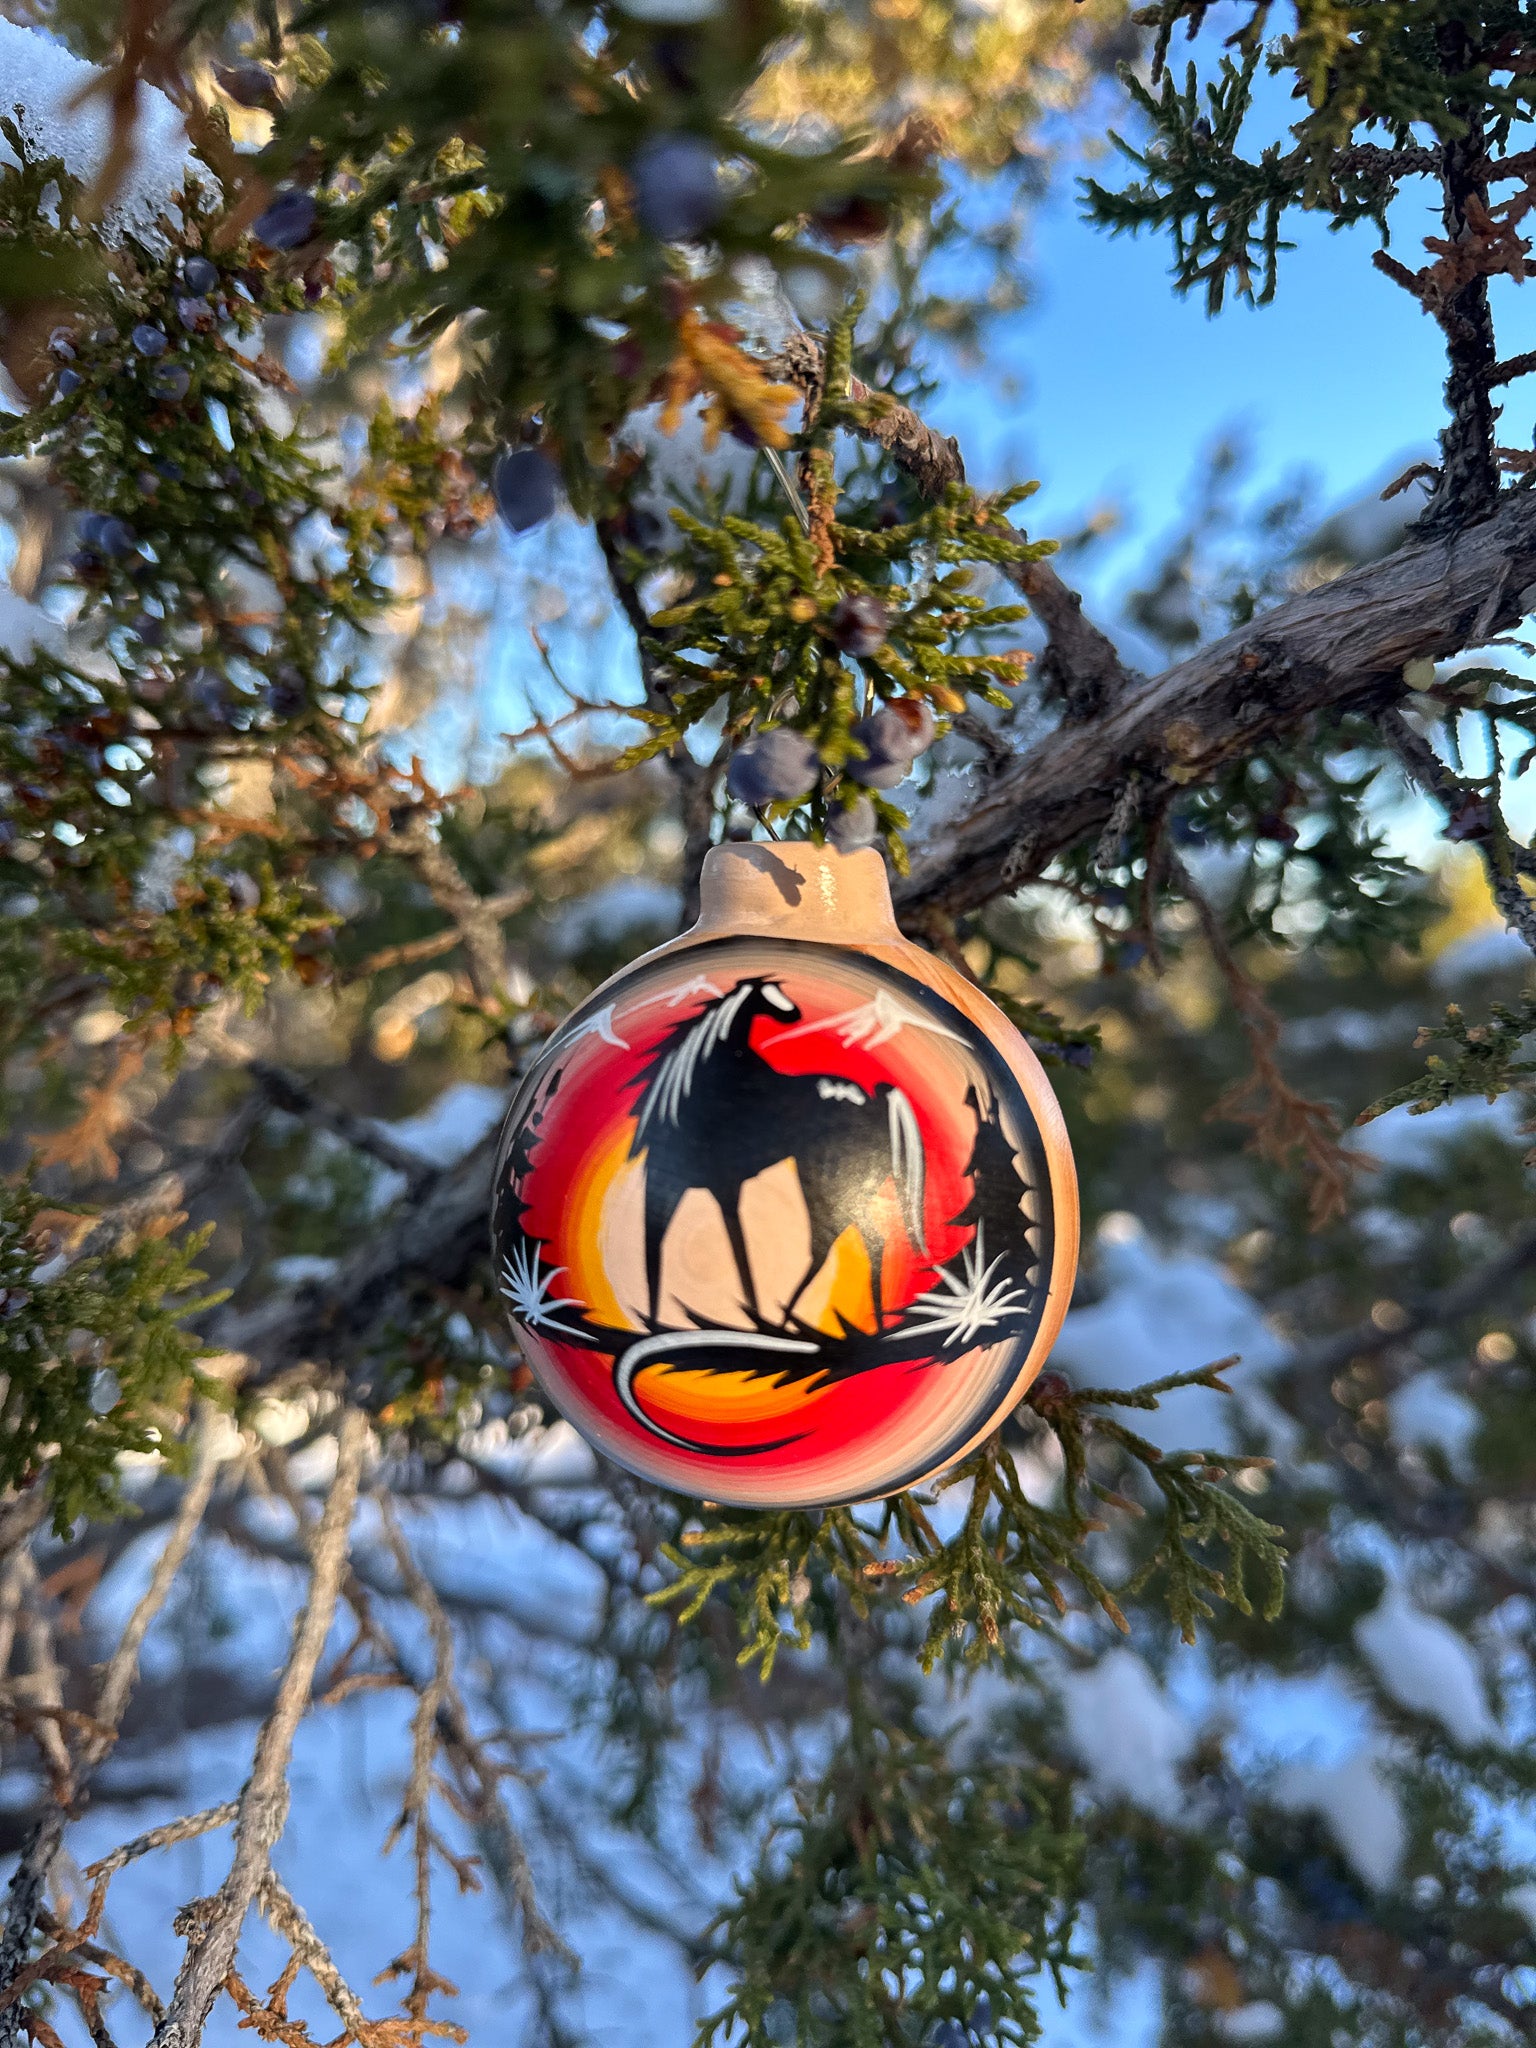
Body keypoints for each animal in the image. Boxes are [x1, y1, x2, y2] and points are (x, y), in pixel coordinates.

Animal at [630, 974, 933, 1327]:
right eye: (768, 993)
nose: (794, 1013)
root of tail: (872, 1099)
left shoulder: (722, 1188)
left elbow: (737, 1256)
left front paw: (750, 1315)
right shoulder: (671, 1186)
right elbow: (655, 1248)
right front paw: (651, 1321)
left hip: (821, 1178)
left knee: (826, 1241)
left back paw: (785, 1320)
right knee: (868, 1241)